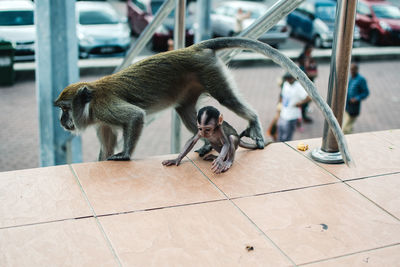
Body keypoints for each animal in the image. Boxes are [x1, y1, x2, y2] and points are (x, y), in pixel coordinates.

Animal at [54, 37, 354, 165]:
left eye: (65, 108)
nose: (61, 121)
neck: (91, 99)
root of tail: (192, 48)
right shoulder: (101, 120)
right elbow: (106, 144)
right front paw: (103, 158)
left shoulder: (105, 108)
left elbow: (135, 117)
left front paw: (125, 155)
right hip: (191, 86)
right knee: (187, 112)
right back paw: (209, 144)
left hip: (209, 71)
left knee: (226, 98)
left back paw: (253, 122)